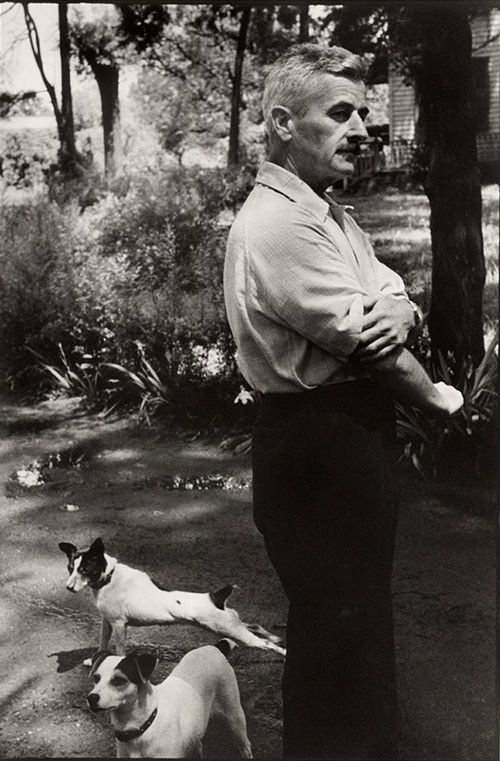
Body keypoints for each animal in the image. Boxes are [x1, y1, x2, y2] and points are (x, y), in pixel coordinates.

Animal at [58, 536, 286, 656]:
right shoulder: (107, 622)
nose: (68, 587)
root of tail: (216, 597)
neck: (110, 578)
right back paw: (275, 636)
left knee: (265, 644)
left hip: (234, 632)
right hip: (231, 626)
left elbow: (119, 649)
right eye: (70, 568)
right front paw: (95, 660)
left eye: (85, 569)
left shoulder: (119, 625)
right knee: (254, 626)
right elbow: (102, 643)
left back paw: (282, 652)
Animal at [87, 640, 254, 756]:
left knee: (246, 745)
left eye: (118, 680)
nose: (91, 698)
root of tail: (214, 648)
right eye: (96, 678)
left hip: (235, 716)